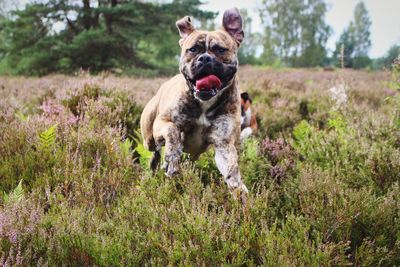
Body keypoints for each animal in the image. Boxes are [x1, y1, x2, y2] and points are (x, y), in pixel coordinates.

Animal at [140, 7, 247, 194]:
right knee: (155, 150)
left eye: (220, 50)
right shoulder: (163, 122)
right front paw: (172, 158)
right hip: (149, 137)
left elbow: (231, 169)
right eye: (193, 49)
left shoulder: (224, 144)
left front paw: (239, 190)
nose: (204, 58)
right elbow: (173, 131)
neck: (204, 103)